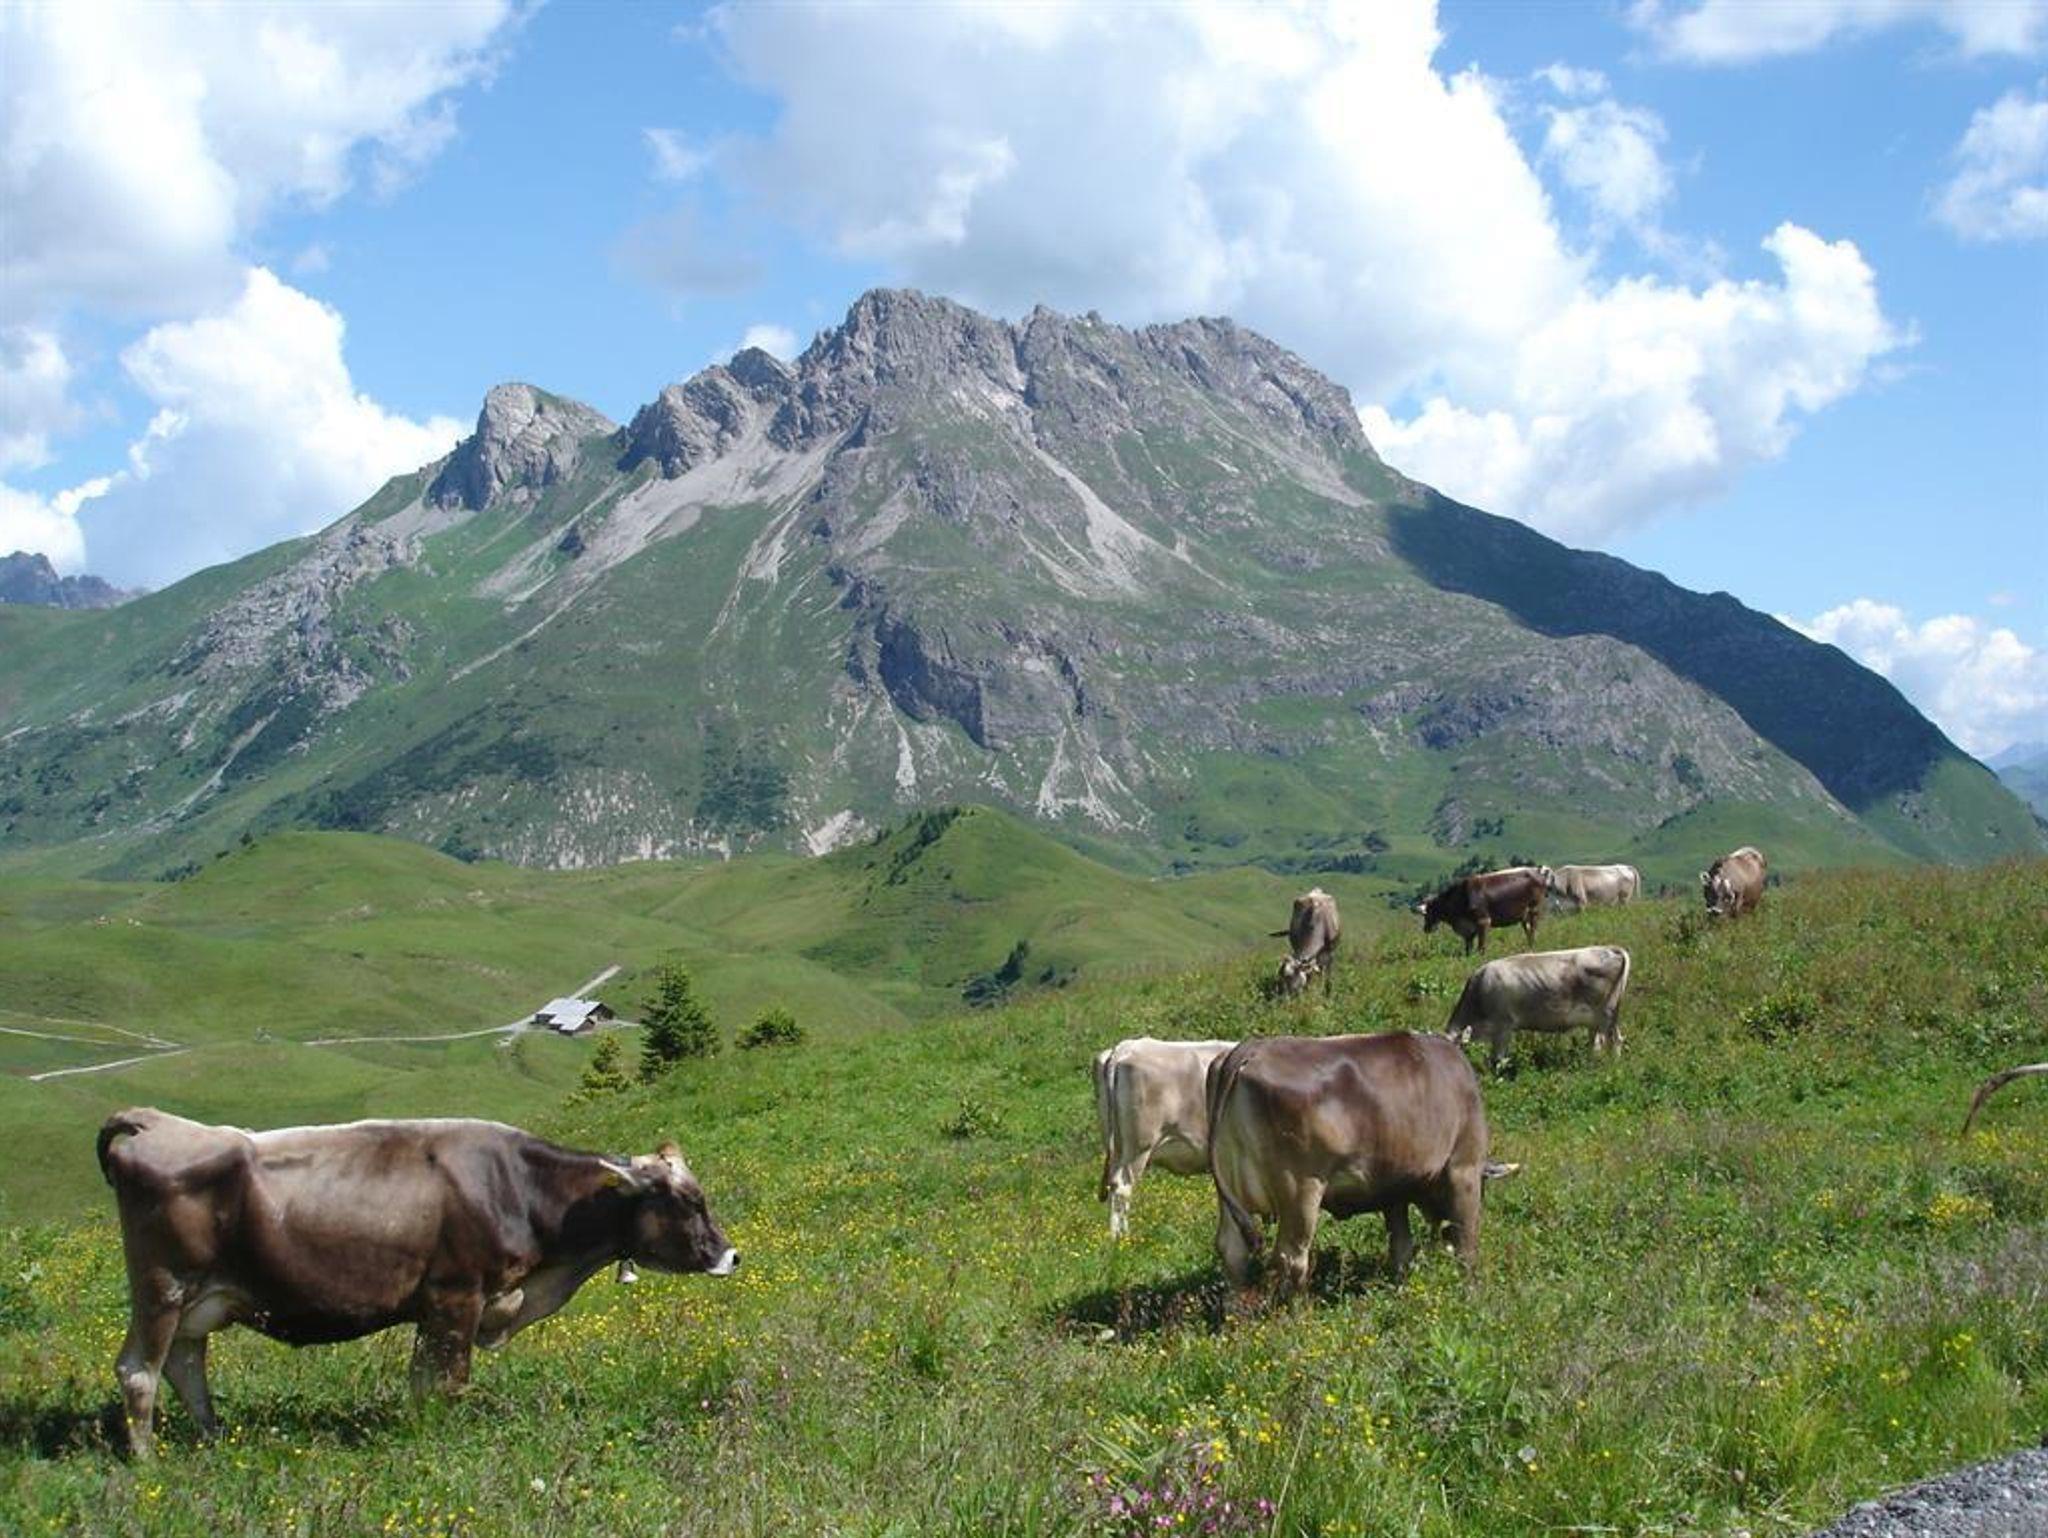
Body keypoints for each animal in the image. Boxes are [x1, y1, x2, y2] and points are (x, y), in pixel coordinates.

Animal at [97, 1108, 737, 1457]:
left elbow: (422, 1382)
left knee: (184, 1366)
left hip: (198, 1302)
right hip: (162, 1288)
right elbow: (448, 1381)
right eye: (687, 1201)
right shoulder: (458, 1295)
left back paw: (214, 1438)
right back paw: (149, 1458)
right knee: (139, 1371)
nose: (730, 1255)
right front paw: (441, 1436)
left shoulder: (437, 1309)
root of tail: (156, 1123)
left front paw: (417, 1429)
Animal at [1206, 1032, 1491, 1299]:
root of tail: (1252, 1048)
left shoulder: (1392, 1188)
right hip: (1301, 1188)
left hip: (1231, 1191)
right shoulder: (1464, 1167)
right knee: (1292, 1259)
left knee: (1233, 1250)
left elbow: (1401, 1245)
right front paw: (1471, 1295)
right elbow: (1467, 1241)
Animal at [1418, 866, 1549, 954]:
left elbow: (1481, 945)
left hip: (1534, 909)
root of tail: (1537, 871)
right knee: (1528, 930)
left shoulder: (1483, 921)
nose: (1425, 929)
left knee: (1533, 930)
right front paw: (1468, 957)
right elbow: (1468, 945)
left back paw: (1532, 947)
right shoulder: (1468, 927)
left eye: (1427, 914)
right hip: (1523, 915)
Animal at [1445, 946, 1632, 1072]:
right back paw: (1614, 1065)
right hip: (1608, 1017)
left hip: (1603, 1015)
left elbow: (1498, 1059)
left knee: (1599, 1044)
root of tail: (1611, 949)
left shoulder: (1503, 1027)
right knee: (1616, 1039)